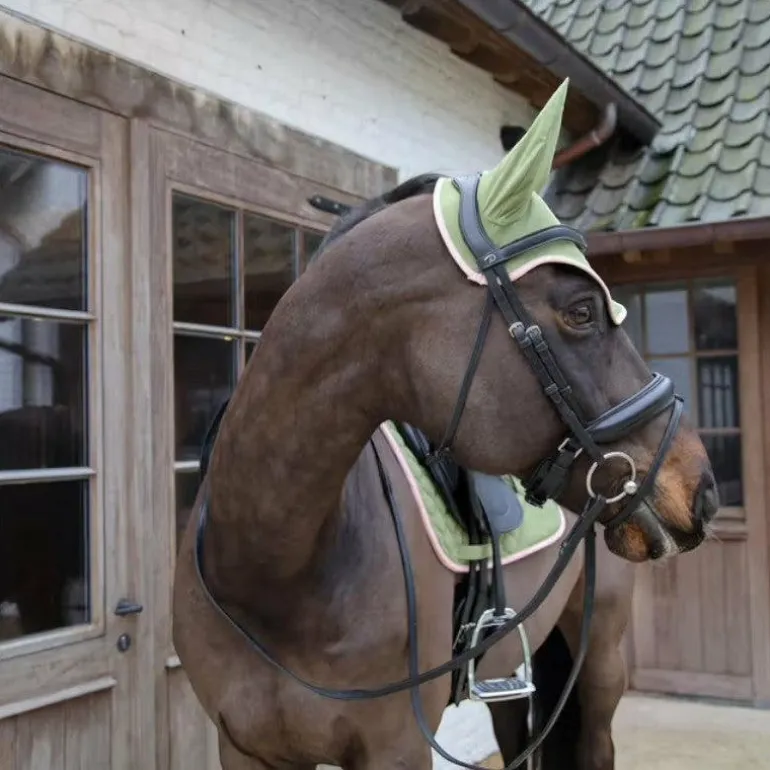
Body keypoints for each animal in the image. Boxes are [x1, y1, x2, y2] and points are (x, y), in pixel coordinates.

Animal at [172, 80, 717, 770]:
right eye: (582, 311)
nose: (701, 487)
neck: (273, 573)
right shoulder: (243, 748)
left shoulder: (397, 748)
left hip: (599, 659)